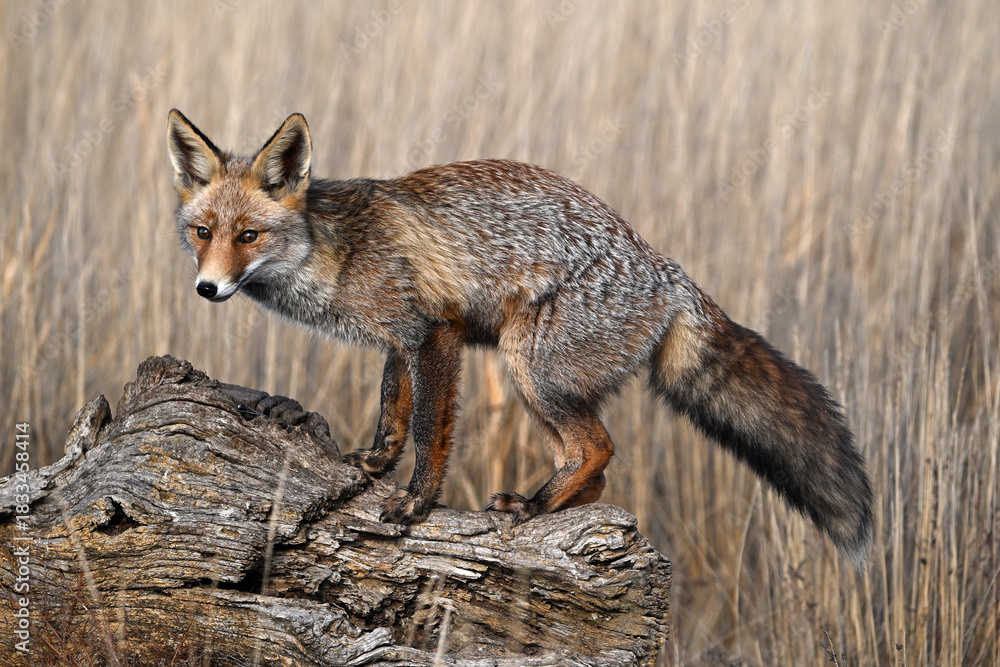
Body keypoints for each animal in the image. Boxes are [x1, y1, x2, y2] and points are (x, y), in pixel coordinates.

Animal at [167, 109, 874, 568]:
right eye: (203, 232)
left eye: (249, 236)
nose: (205, 288)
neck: (334, 254)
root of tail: (670, 273)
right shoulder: (400, 338)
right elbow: (392, 414)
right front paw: (371, 466)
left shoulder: (435, 331)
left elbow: (428, 429)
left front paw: (416, 502)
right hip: (536, 383)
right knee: (596, 473)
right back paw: (547, 503)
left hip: (530, 368)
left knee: (599, 449)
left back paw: (533, 506)